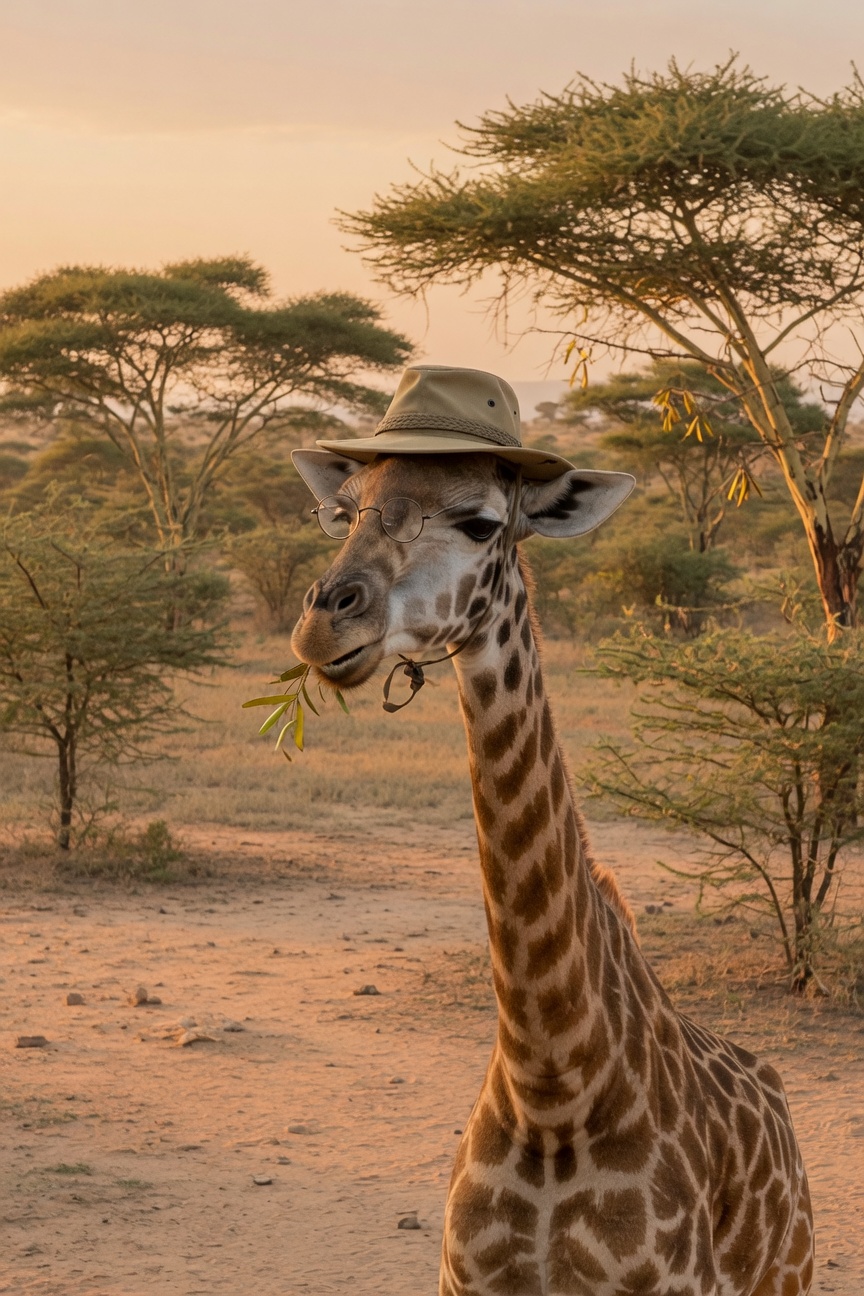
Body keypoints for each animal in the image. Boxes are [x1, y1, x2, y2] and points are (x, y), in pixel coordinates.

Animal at [290, 398, 814, 1296]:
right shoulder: (464, 1280)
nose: (324, 622)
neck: (554, 1086)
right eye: (343, 509)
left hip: (792, 1274)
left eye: (479, 521)